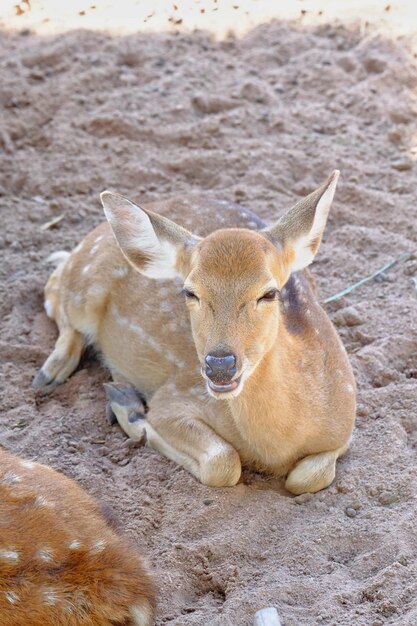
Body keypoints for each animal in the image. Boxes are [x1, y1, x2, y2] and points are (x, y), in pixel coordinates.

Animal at [34, 169, 356, 492]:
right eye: (190, 292)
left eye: (269, 293)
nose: (220, 365)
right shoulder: (174, 396)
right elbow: (223, 462)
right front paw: (130, 410)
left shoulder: (344, 431)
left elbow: (307, 477)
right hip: (85, 285)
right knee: (54, 287)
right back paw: (52, 374)